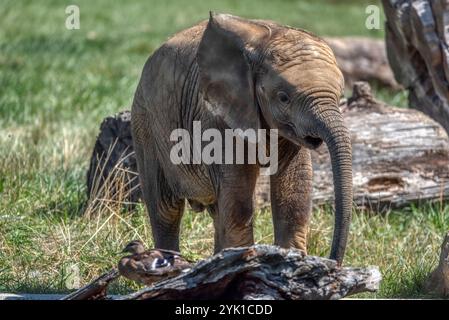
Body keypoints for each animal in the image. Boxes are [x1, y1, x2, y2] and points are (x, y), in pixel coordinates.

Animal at [131, 12, 352, 264]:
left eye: (340, 95)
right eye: (283, 98)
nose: (333, 260)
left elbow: (294, 189)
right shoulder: (217, 117)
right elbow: (239, 200)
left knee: (216, 210)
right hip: (145, 122)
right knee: (165, 208)